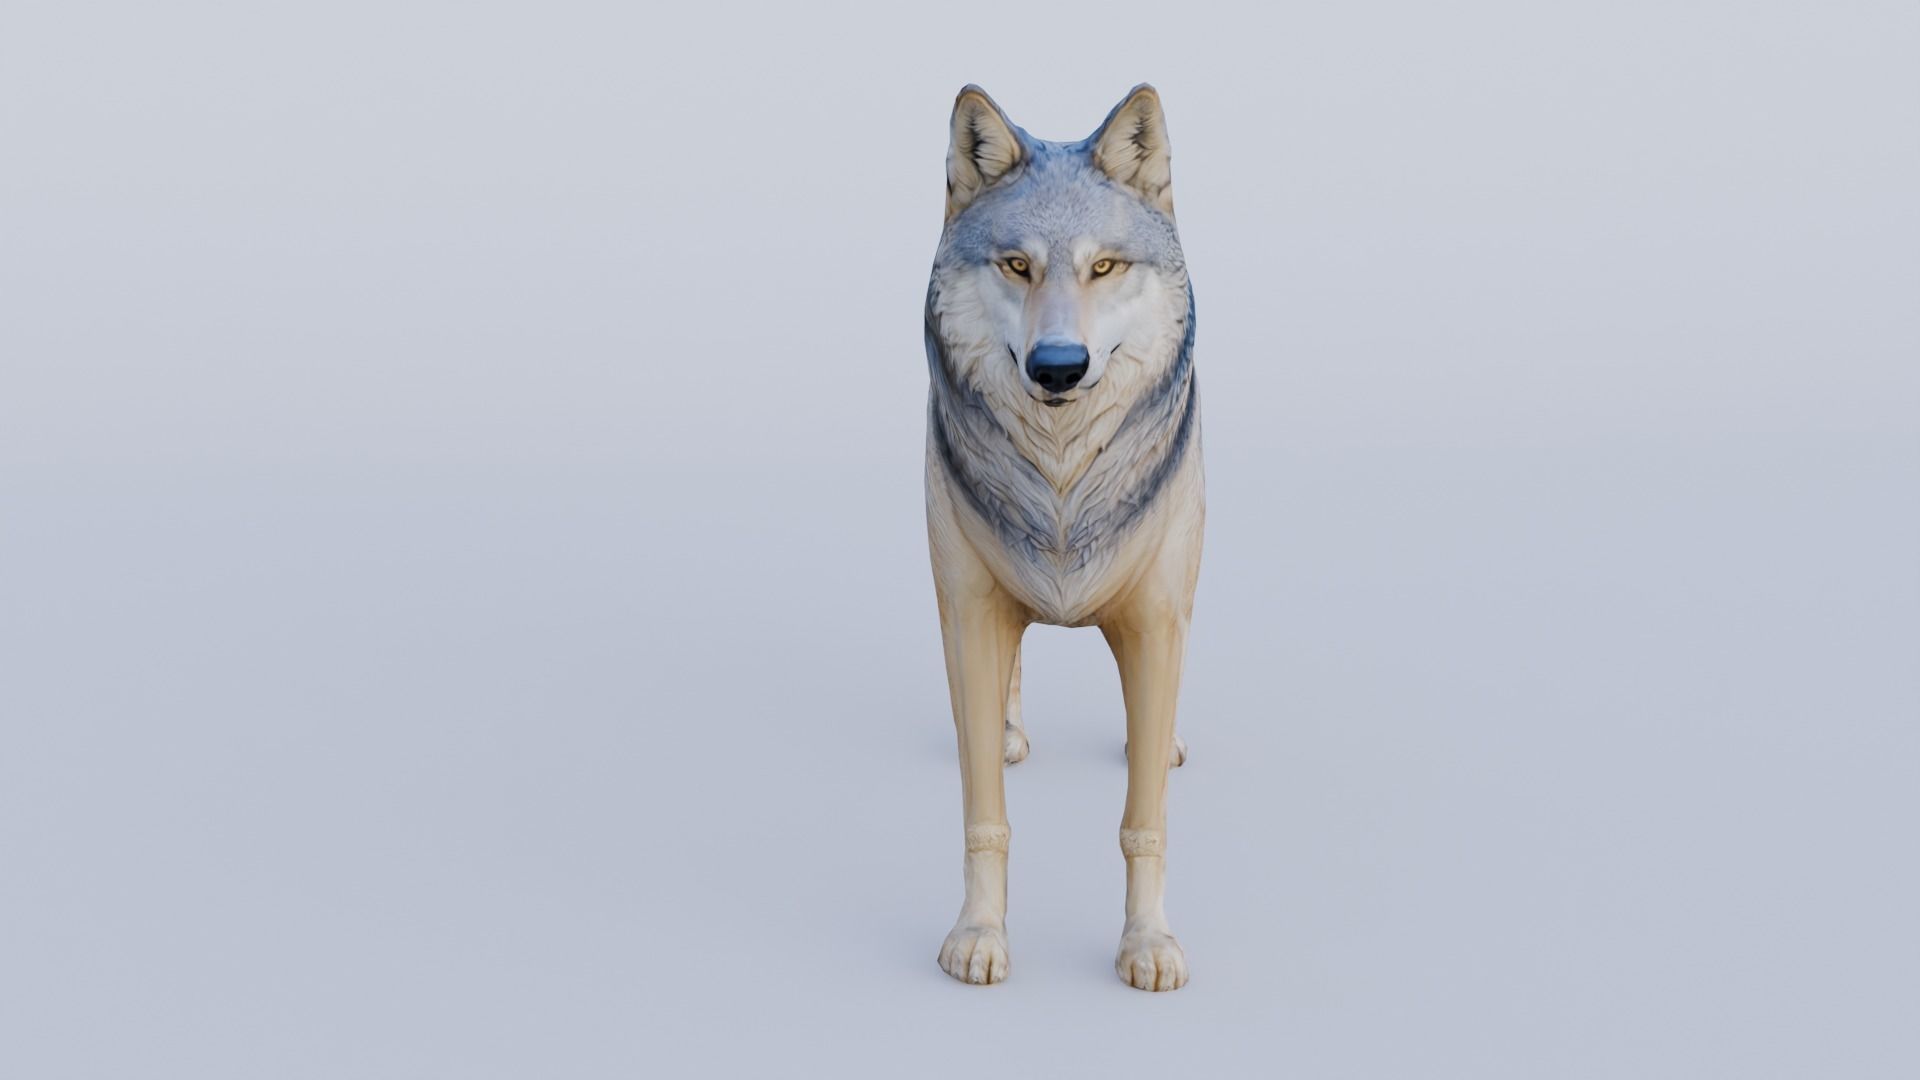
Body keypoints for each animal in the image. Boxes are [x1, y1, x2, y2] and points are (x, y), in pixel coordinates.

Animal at [924, 84, 1202, 990]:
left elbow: (1143, 822)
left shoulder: (1154, 621)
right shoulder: (972, 608)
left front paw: (1147, 944)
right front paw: (978, 935)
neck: (1060, 484)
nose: (1056, 367)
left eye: (1103, 267)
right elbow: (984, 813)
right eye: (1017, 265)